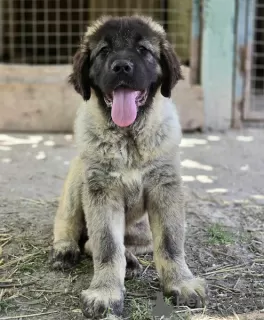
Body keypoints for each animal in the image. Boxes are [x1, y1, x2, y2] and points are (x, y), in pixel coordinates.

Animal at [50, 15, 206, 320]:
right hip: (77, 177)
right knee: (71, 226)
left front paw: (181, 283)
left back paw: (132, 261)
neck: (129, 138)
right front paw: (105, 293)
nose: (122, 66)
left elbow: (170, 242)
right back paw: (65, 250)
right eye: (104, 51)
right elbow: (107, 246)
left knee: (117, 243)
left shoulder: (165, 187)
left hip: (142, 229)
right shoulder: (101, 190)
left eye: (143, 50)